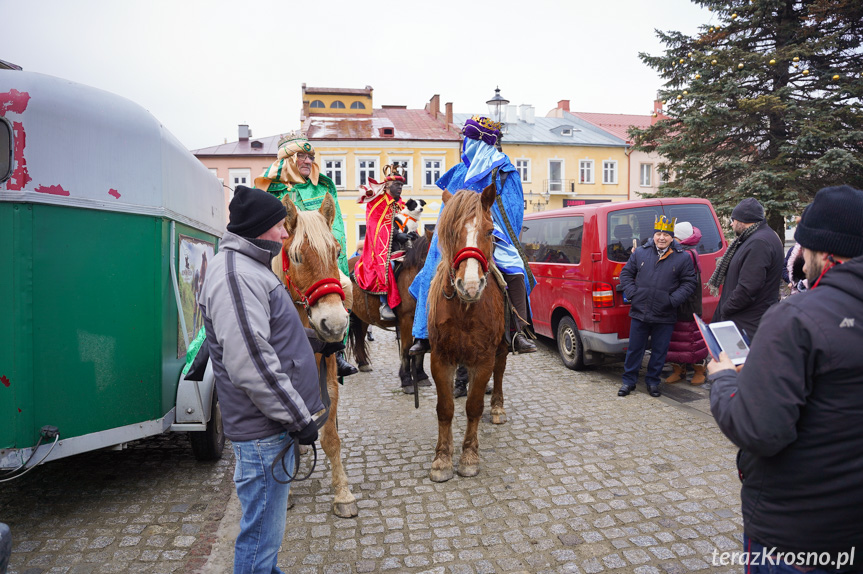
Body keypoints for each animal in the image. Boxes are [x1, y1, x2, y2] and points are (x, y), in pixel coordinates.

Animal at [276, 195, 360, 520]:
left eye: (336, 251)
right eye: (297, 256)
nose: (335, 324)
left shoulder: (328, 375)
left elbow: (331, 438)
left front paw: (343, 493)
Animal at [348, 232, 432, 394]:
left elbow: (420, 349)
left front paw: (421, 376)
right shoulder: (407, 320)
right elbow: (405, 349)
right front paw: (406, 380)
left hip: (362, 317)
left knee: (360, 337)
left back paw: (363, 363)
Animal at [428, 184, 510, 482]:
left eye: (489, 231)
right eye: (452, 232)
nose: (471, 286)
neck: (465, 309)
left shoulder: (484, 358)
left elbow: (473, 407)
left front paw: (469, 456)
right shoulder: (441, 358)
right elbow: (445, 408)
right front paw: (442, 458)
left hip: (501, 348)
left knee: (500, 371)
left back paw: (497, 407)